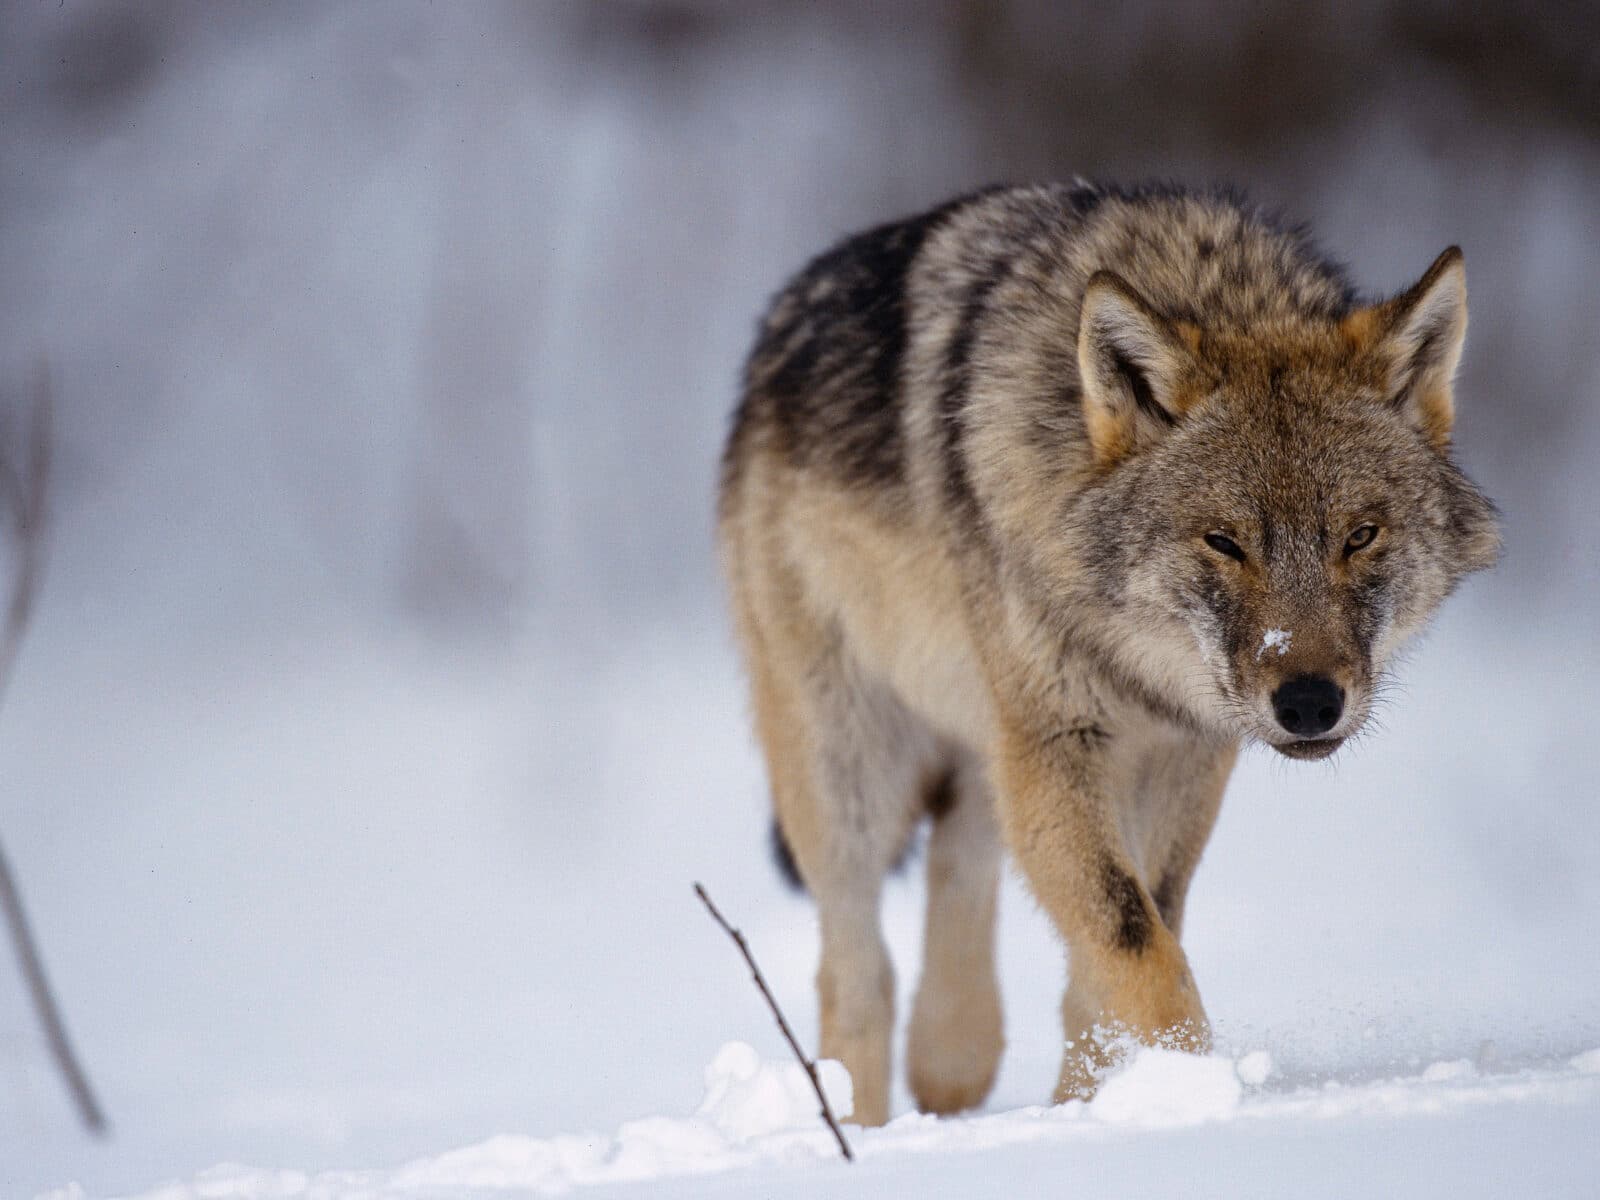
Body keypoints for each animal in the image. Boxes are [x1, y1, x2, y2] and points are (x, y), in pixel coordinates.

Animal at [717, 182, 1499, 1125]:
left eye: (1360, 536)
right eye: (1224, 542)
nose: (1310, 702)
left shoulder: (1181, 754)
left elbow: (1125, 949)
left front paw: (1100, 1106)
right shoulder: (1059, 743)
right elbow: (1136, 945)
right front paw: (1187, 1097)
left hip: (985, 747)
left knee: (962, 869)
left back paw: (954, 1062)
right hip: (853, 768)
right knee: (855, 970)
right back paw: (862, 1126)